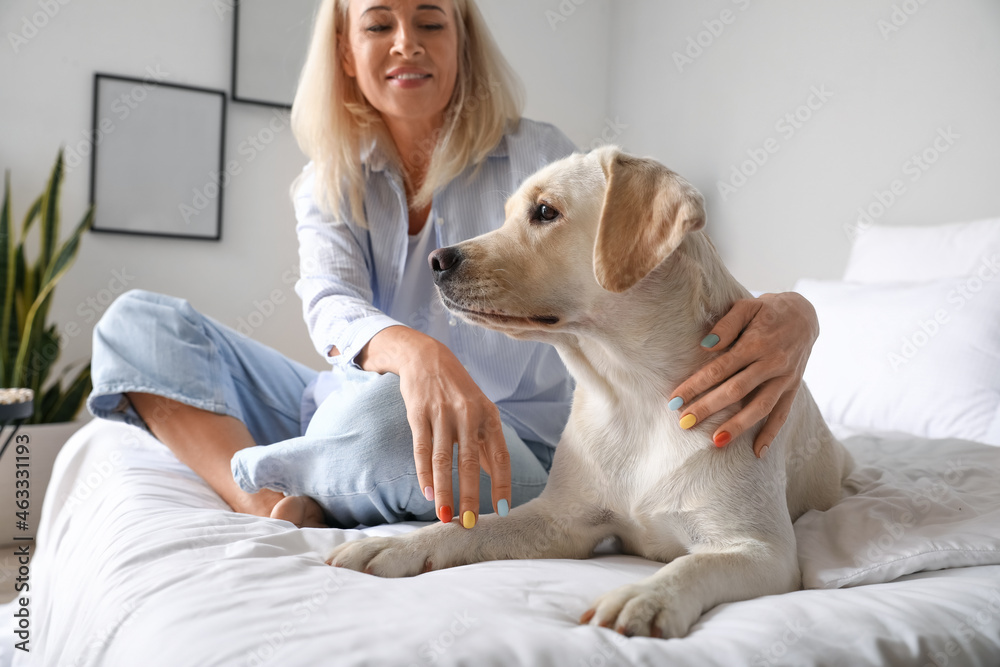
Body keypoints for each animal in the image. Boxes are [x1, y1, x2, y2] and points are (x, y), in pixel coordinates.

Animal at [326, 147, 852, 640]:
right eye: (507, 213)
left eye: (544, 212)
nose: (438, 260)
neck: (636, 395)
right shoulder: (560, 521)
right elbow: (469, 526)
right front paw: (398, 544)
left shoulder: (763, 551)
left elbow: (694, 562)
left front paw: (647, 596)